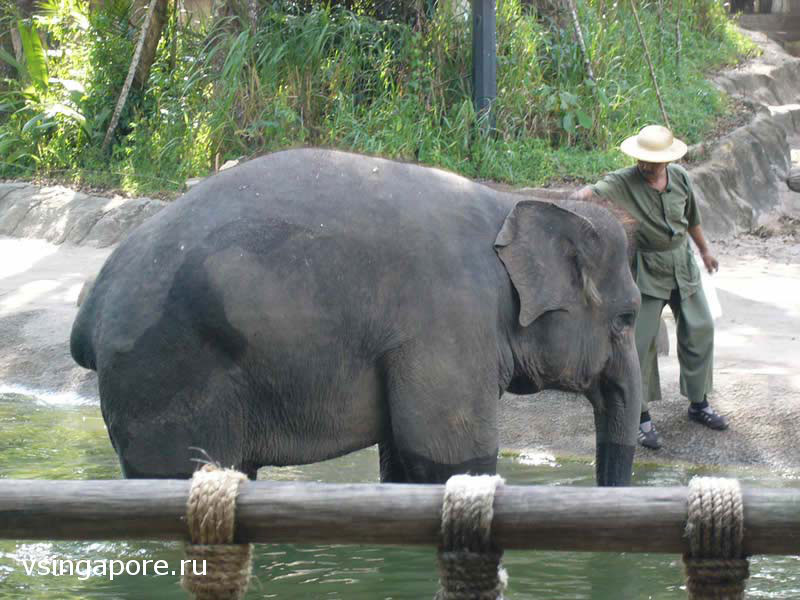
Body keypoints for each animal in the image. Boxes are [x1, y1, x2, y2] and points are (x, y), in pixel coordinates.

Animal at [70, 149, 644, 488]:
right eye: (627, 319)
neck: (510, 204)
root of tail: (90, 306)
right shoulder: (450, 324)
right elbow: (453, 458)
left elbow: (404, 460)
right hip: (164, 373)